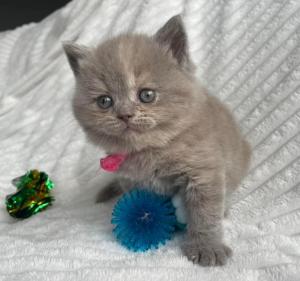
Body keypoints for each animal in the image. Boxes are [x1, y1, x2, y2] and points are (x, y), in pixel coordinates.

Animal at [63, 14, 251, 264]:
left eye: (147, 95)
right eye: (104, 101)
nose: (125, 114)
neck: (152, 150)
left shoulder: (204, 172)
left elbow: (204, 213)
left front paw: (207, 247)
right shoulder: (130, 179)